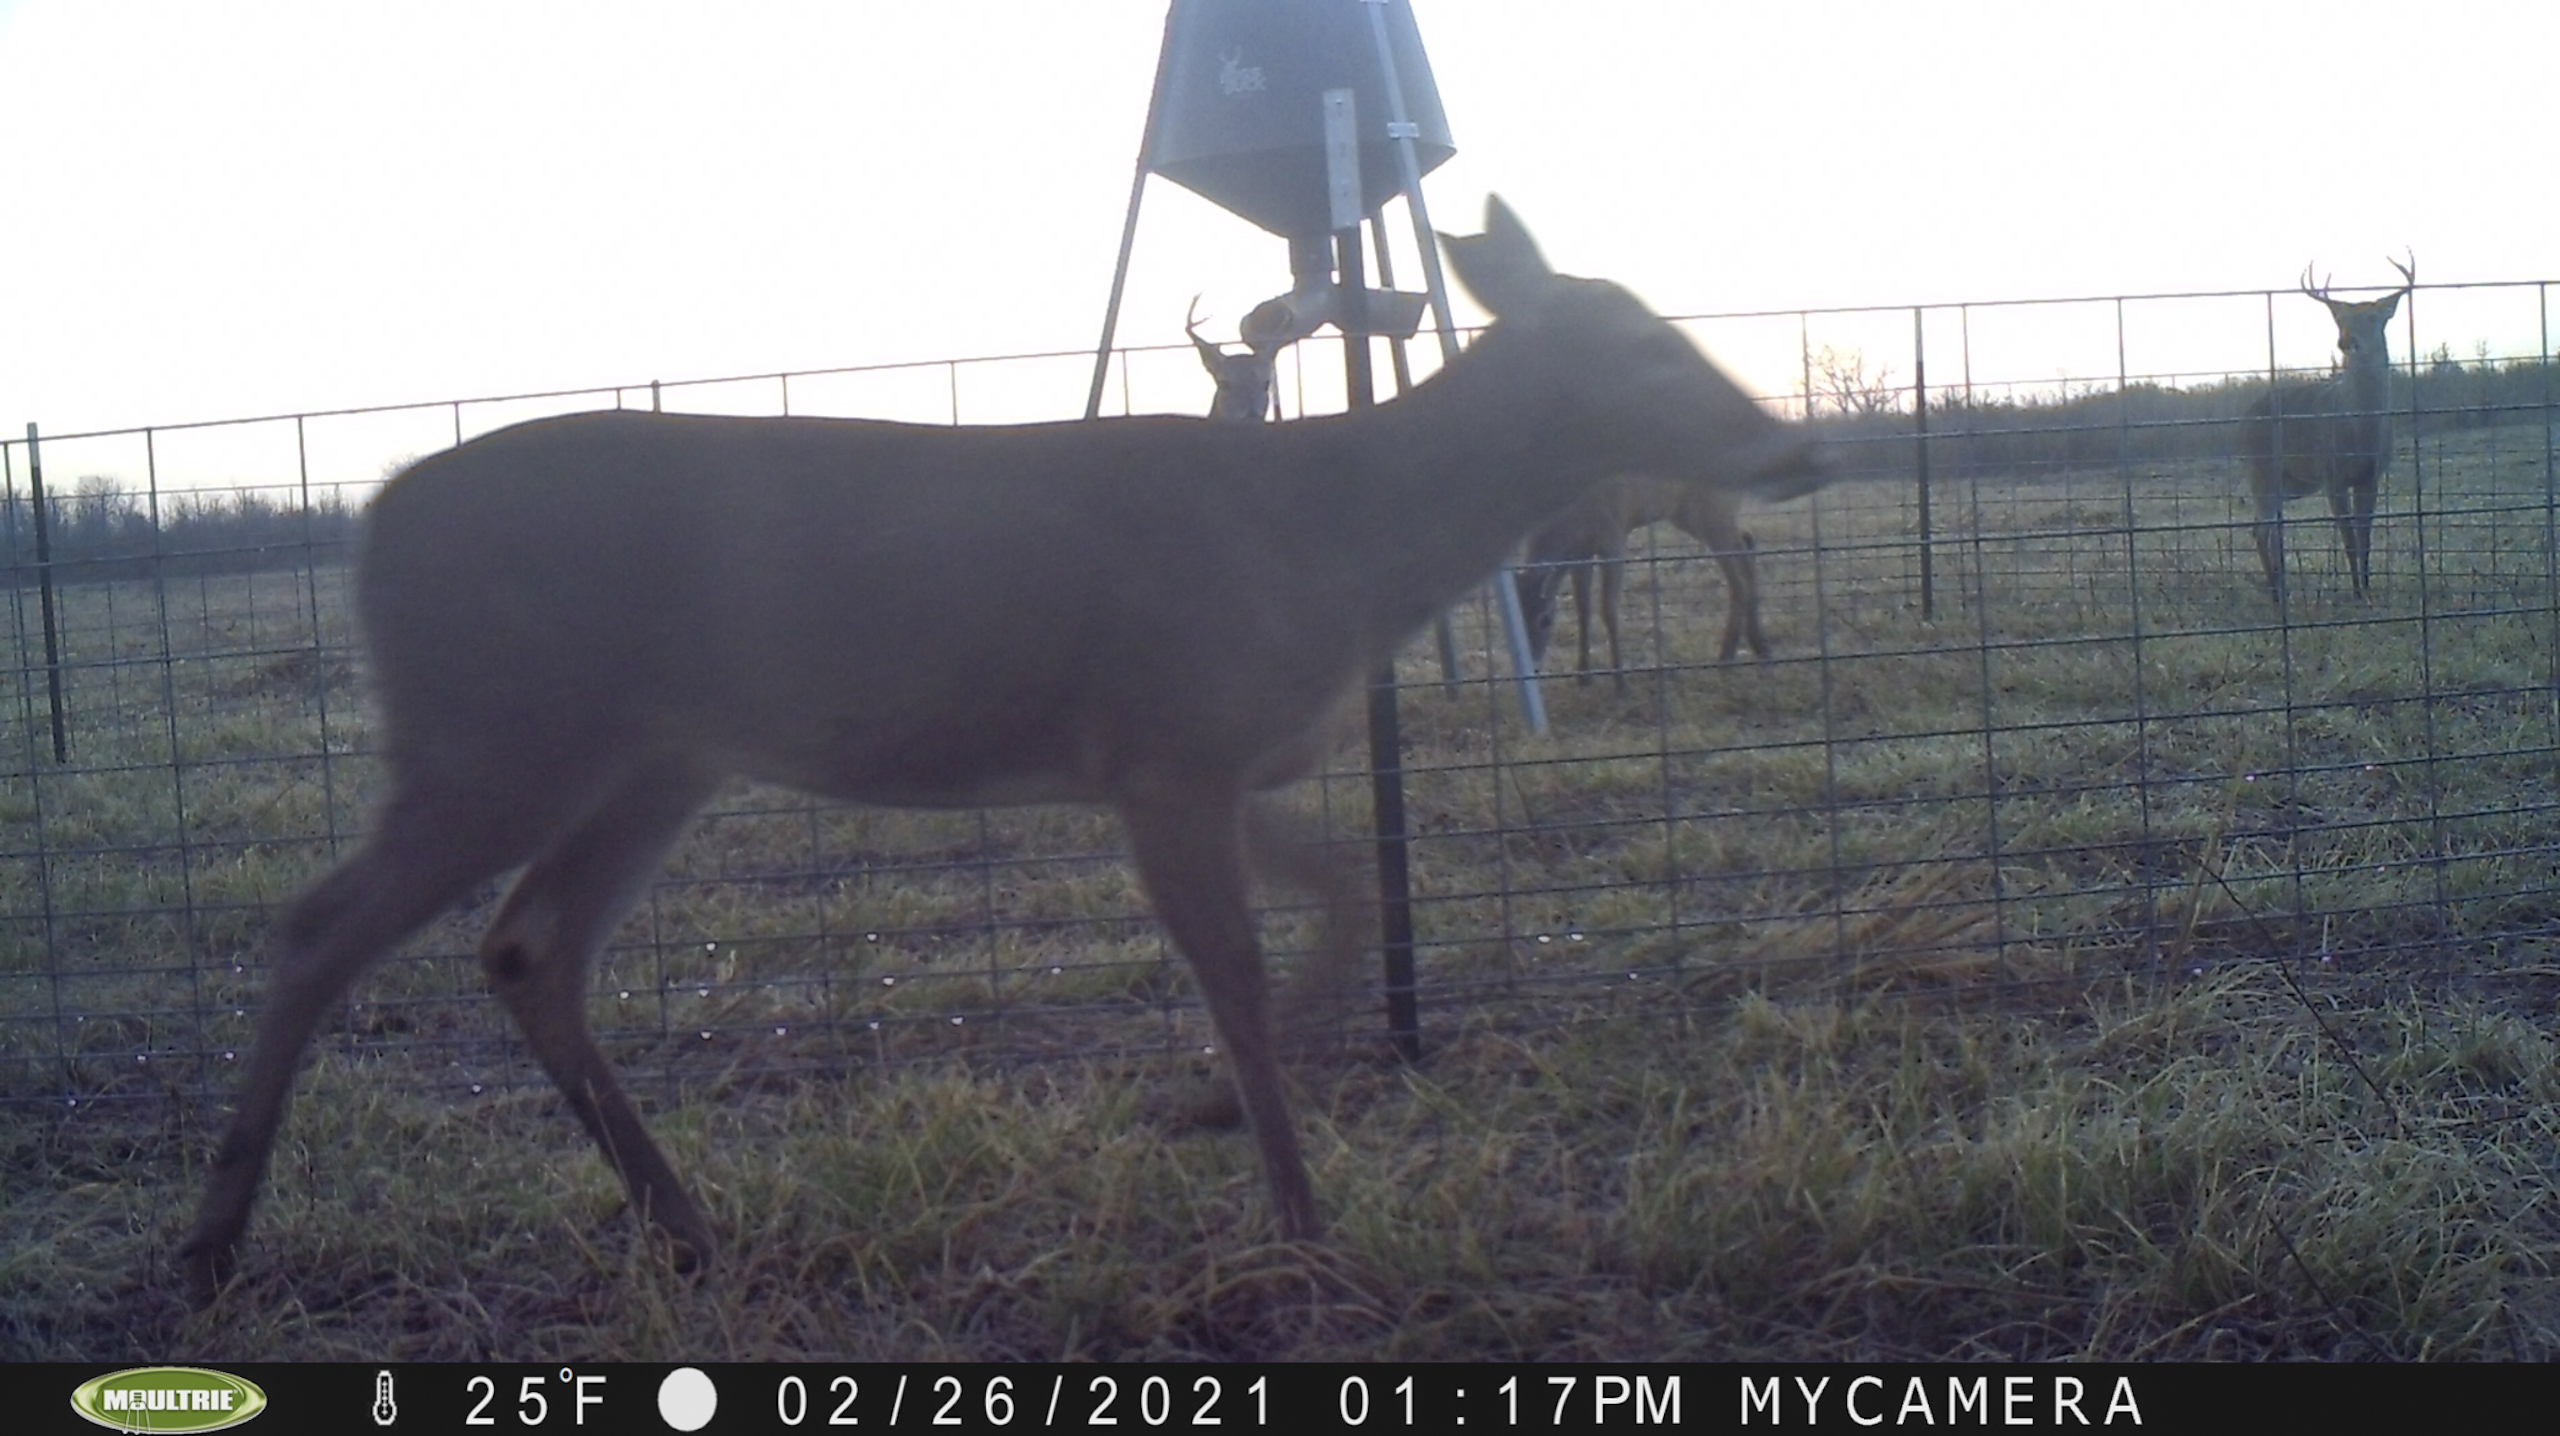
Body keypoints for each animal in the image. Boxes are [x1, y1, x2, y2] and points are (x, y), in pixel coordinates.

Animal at [1521, 474, 1768, 694]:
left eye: (1546, 620)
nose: (1533, 668)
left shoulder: (1614, 535)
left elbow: (1608, 609)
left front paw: (1621, 683)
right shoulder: (1580, 552)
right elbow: (1582, 608)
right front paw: (1583, 676)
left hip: (1712, 508)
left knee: (1739, 573)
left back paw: (1729, 656)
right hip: (1685, 513)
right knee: (1746, 543)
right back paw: (1757, 648)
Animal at [2242, 253, 2414, 603]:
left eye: (2374, 316)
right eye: (2340, 319)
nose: (2347, 341)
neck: (2359, 428)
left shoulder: (2372, 475)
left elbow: (2365, 533)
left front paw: (2366, 585)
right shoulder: (2331, 475)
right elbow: (2347, 535)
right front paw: (2357, 591)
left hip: (2286, 481)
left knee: (2270, 527)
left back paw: (2281, 585)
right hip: (2260, 469)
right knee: (2260, 527)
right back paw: (2277, 593)